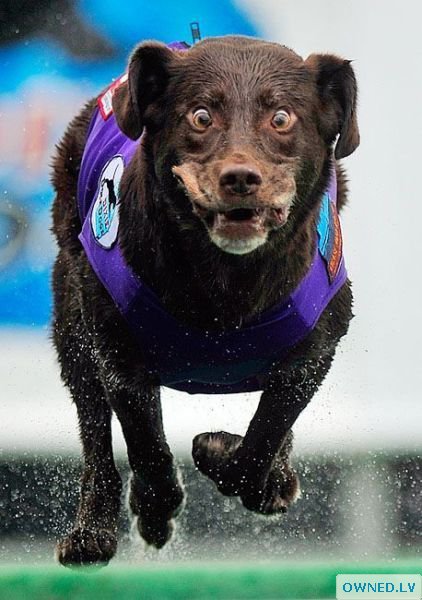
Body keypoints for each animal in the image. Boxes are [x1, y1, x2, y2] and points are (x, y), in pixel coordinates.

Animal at [50, 35, 360, 564]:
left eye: (281, 117)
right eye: (200, 116)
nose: (240, 177)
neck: (225, 285)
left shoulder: (313, 354)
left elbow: (264, 437)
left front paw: (226, 454)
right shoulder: (118, 355)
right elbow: (147, 446)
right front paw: (155, 510)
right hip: (72, 315)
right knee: (94, 430)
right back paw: (93, 532)